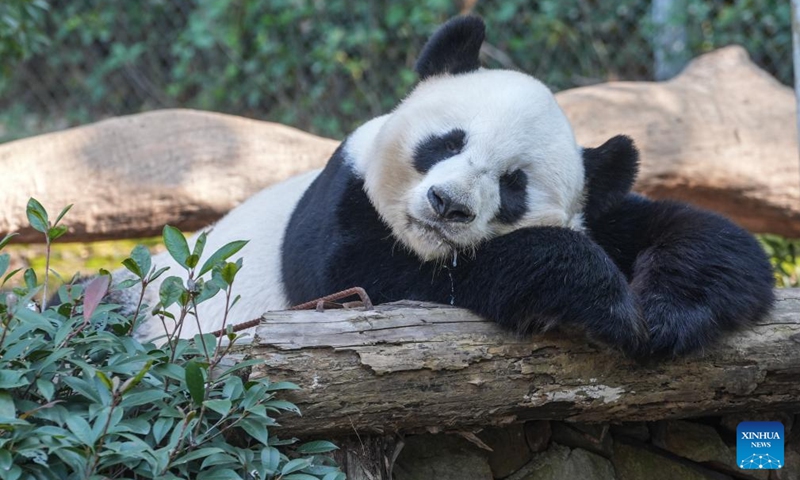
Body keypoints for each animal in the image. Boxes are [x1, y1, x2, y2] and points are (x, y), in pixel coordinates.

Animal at [130, 15, 775, 359]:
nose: (449, 205)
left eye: (514, 185)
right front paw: (592, 292)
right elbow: (379, 282)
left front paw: (666, 313)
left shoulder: (603, 213)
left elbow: (708, 237)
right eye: (446, 142)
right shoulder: (340, 209)